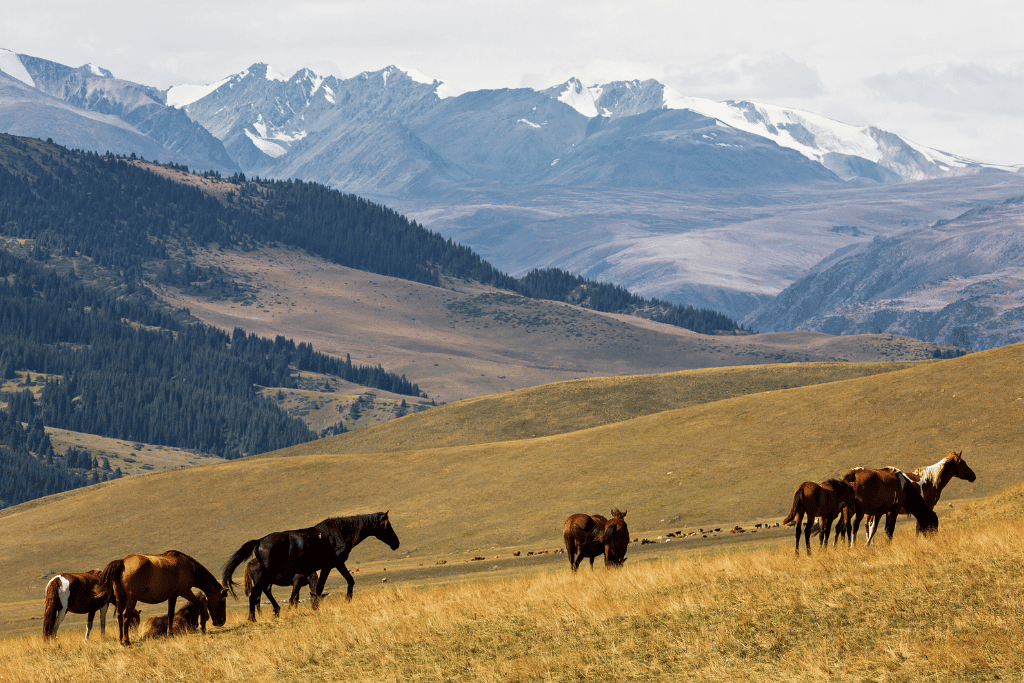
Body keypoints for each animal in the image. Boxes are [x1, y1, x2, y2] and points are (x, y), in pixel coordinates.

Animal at [99, 550, 228, 646]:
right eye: (223, 601)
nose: (220, 622)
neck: (188, 566)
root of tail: (122, 562)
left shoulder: (173, 596)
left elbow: (170, 614)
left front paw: (170, 633)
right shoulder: (185, 591)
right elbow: (200, 603)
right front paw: (203, 627)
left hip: (120, 599)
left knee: (119, 617)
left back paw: (121, 640)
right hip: (131, 600)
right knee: (126, 616)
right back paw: (126, 641)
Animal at [222, 511, 400, 622]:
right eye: (387, 525)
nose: (396, 543)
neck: (340, 532)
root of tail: (259, 542)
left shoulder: (330, 566)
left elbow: (325, 587)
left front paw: (317, 606)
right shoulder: (332, 564)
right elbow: (328, 586)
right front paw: (343, 601)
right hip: (266, 576)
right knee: (255, 594)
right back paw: (253, 618)